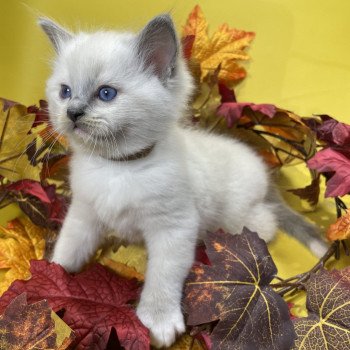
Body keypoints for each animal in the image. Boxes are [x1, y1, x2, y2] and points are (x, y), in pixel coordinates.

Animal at [39, 14, 326, 348]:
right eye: (65, 92)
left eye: (106, 93)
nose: (72, 113)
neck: (117, 168)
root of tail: (265, 175)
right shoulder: (84, 214)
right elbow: (68, 250)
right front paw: (50, 279)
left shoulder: (174, 226)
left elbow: (163, 276)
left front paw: (159, 321)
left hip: (238, 219)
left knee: (266, 224)